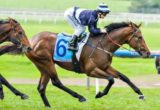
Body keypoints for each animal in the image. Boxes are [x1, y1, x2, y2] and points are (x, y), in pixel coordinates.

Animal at [6, 21, 149, 107]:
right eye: (140, 37)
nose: (147, 53)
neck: (103, 45)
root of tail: (30, 41)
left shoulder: (105, 67)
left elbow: (123, 77)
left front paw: (140, 94)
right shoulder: (91, 70)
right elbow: (111, 79)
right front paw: (99, 94)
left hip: (43, 66)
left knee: (42, 87)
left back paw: (48, 106)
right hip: (46, 63)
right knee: (56, 82)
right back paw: (80, 97)